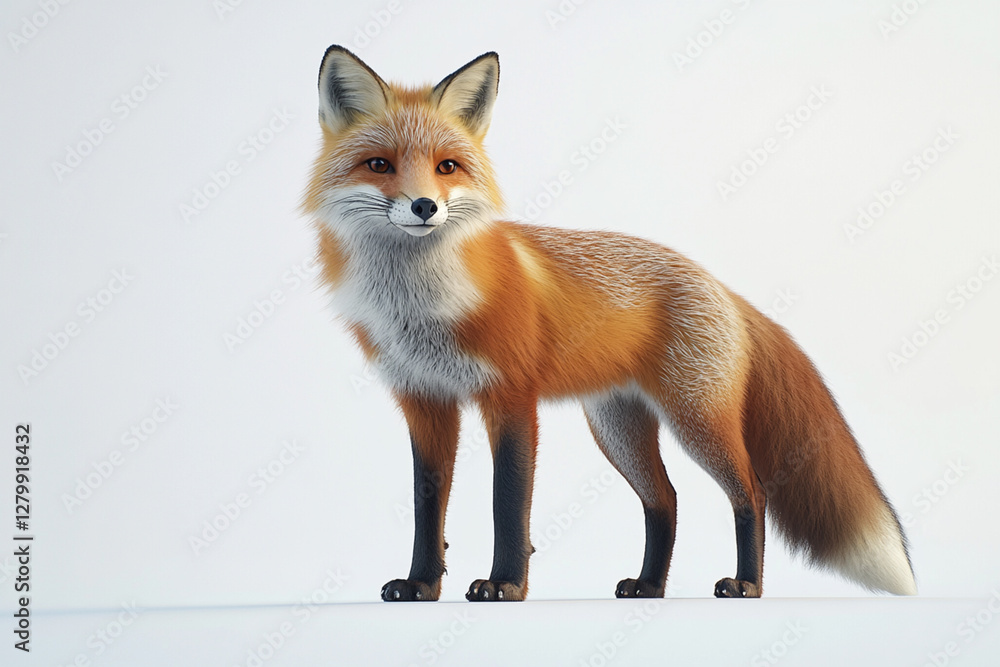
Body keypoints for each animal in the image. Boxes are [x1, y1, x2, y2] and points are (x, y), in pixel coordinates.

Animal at [303, 45, 917, 602]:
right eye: (379, 165)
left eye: (446, 167)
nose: (425, 206)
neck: (422, 305)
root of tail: (717, 284)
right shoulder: (424, 399)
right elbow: (427, 506)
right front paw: (422, 584)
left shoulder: (511, 396)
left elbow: (508, 504)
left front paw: (505, 584)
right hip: (616, 427)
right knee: (665, 500)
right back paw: (650, 586)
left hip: (696, 418)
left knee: (753, 493)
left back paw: (746, 584)